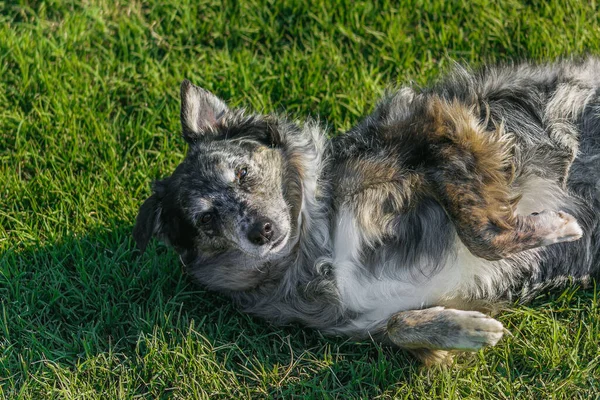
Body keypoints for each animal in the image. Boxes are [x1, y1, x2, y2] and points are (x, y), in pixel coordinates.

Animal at [135, 59, 600, 366]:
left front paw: (552, 227)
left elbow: (479, 230)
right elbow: (399, 327)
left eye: (243, 173)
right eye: (206, 220)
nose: (262, 230)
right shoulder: (373, 319)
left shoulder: (438, 119)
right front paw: (464, 329)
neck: (314, 247)